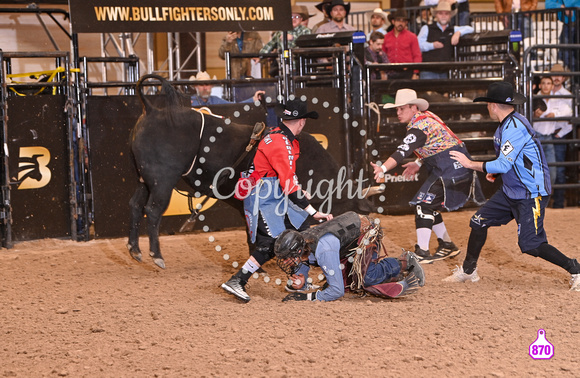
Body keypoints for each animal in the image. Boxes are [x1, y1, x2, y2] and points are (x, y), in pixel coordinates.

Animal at [127, 74, 378, 268]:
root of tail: (152, 110)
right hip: (162, 181)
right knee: (153, 210)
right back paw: (156, 256)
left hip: (144, 180)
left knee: (136, 205)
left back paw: (134, 249)